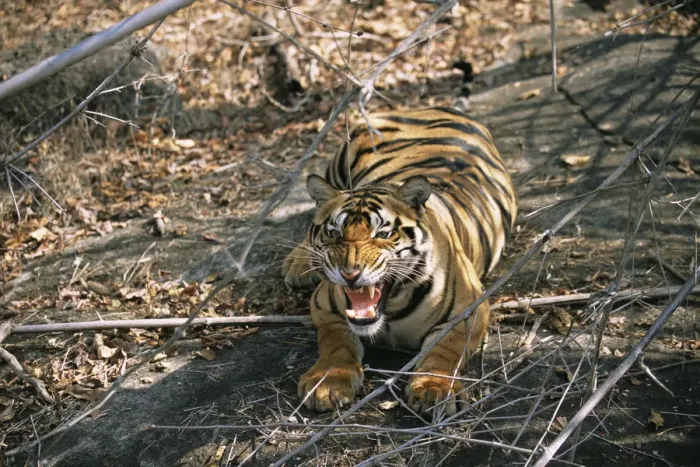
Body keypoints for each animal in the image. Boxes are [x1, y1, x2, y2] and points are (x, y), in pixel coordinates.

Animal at [282, 106, 517, 414]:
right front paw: (328, 382)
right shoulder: (324, 306)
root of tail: (433, 106)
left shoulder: (470, 310)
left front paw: (433, 389)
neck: (391, 311)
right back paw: (297, 264)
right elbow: (336, 343)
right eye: (334, 233)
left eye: (382, 233)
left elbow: (445, 349)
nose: (349, 274)